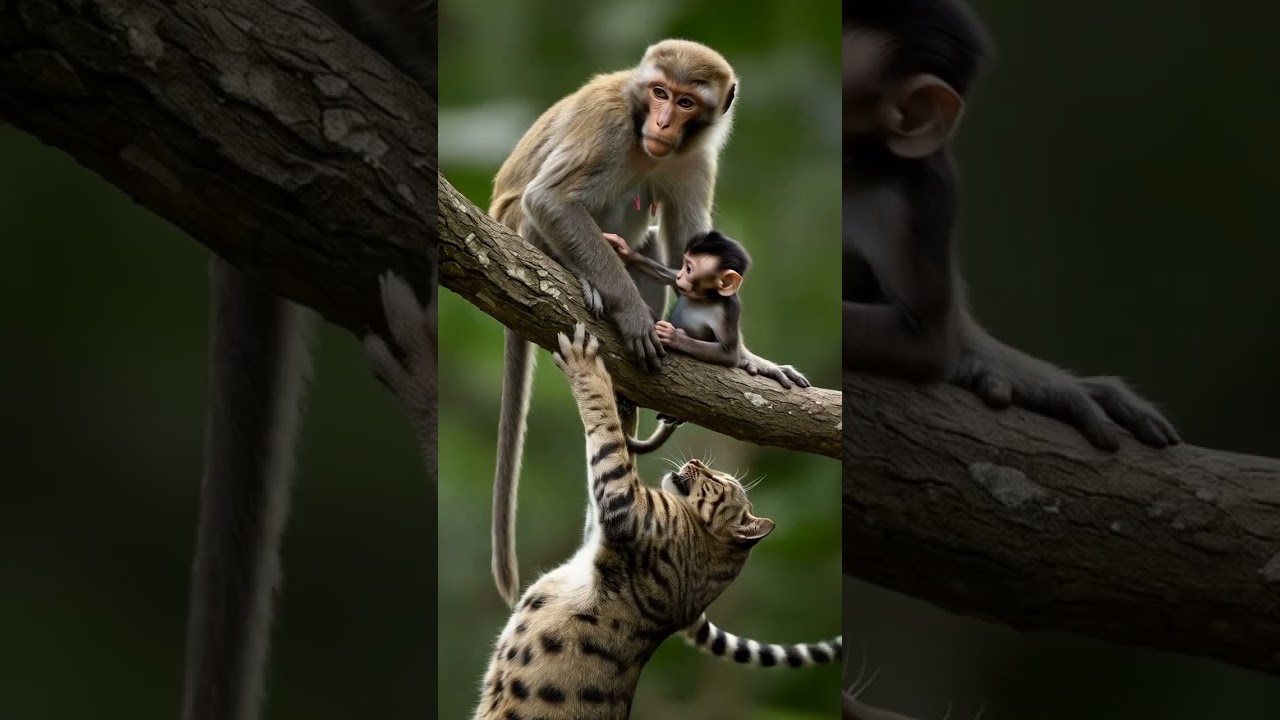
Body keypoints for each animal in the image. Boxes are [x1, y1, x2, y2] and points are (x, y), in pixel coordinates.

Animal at [488, 39, 742, 608]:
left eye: (687, 102)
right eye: (660, 92)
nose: (665, 122)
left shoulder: (696, 159)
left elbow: (688, 250)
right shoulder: (606, 125)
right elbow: (552, 199)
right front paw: (631, 314)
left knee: (647, 242)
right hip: (515, 227)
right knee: (541, 213)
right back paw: (581, 277)